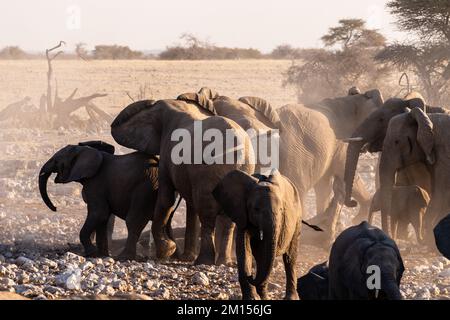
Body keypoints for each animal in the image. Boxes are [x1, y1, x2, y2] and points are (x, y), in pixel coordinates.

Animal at [110, 97, 255, 264]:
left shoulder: (168, 152)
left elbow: (166, 198)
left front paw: (167, 251)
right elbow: (187, 203)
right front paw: (180, 255)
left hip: (210, 169)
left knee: (207, 212)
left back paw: (204, 261)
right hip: (243, 168)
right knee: (227, 218)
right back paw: (223, 262)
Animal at [212, 170, 302, 300]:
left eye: (281, 210)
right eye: (256, 209)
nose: (251, 276)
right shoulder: (241, 214)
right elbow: (244, 249)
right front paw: (252, 298)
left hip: (298, 219)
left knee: (290, 258)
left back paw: (290, 297)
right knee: (261, 257)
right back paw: (264, 296)